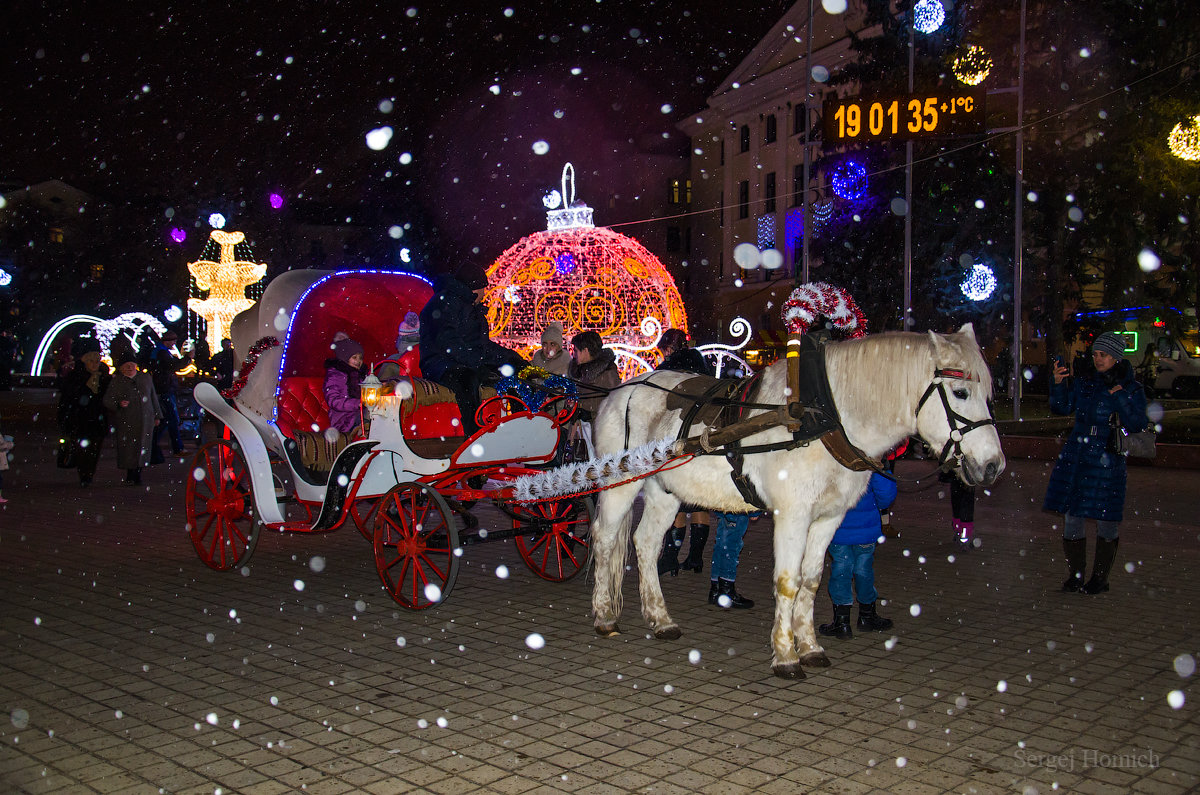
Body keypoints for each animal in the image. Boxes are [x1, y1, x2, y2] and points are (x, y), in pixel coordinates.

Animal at [588, 324, 1003, 677]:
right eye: (961, 393)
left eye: (988, 394)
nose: (993, 465)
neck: (823, 419)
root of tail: (621, 390)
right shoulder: (793, 515)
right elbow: (788, 582)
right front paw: (786, 655)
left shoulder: (828, 518)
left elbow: (812, 580)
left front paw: (811, 647)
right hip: (620, 484)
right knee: (606, 539)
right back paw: (605, 616)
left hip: (665, 492)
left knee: (645, 543)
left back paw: (660, 619)